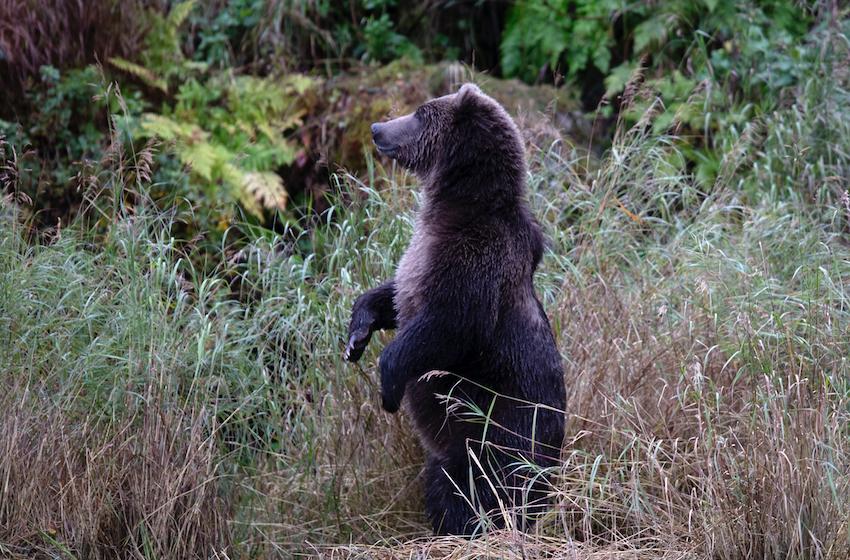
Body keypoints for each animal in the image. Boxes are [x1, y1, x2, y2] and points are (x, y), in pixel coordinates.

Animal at [342, 82, 568, 532]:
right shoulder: (424, 259)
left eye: (420, 113)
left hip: (492, 434)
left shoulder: (475, 259)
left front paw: (389, 387)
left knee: (469, 487)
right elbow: (397, 294)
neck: (456, 204)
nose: (376, 128)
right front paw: (358, 333)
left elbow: (449, 325)